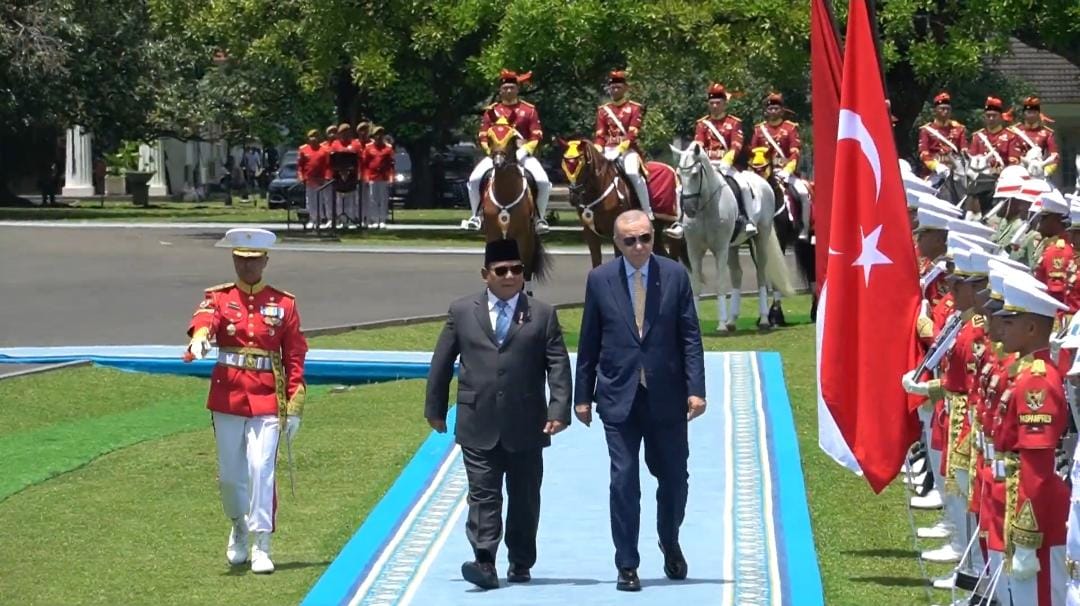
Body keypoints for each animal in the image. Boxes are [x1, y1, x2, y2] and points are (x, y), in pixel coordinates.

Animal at [481, 137, 548, 287]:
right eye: (490, 140)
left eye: (510, 142)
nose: (498, 162)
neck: (506, 194)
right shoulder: (493, 234)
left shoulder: (522, 237)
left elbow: (523, 267)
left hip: (529, 240)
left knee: (527, 270)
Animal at [669, 141, 799, 330]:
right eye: (679, 175)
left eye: (694, 174)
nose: (689, 209)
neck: (706, 208)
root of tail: (764, 183)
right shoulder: (694, 250)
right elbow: (696, 284)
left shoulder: (720, 249)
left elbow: (721, 283)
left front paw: (721, 324)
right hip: (733, 246)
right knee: (737, 274)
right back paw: (732, 320)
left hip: (760, 238)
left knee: (761, 273)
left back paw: (764, 319)